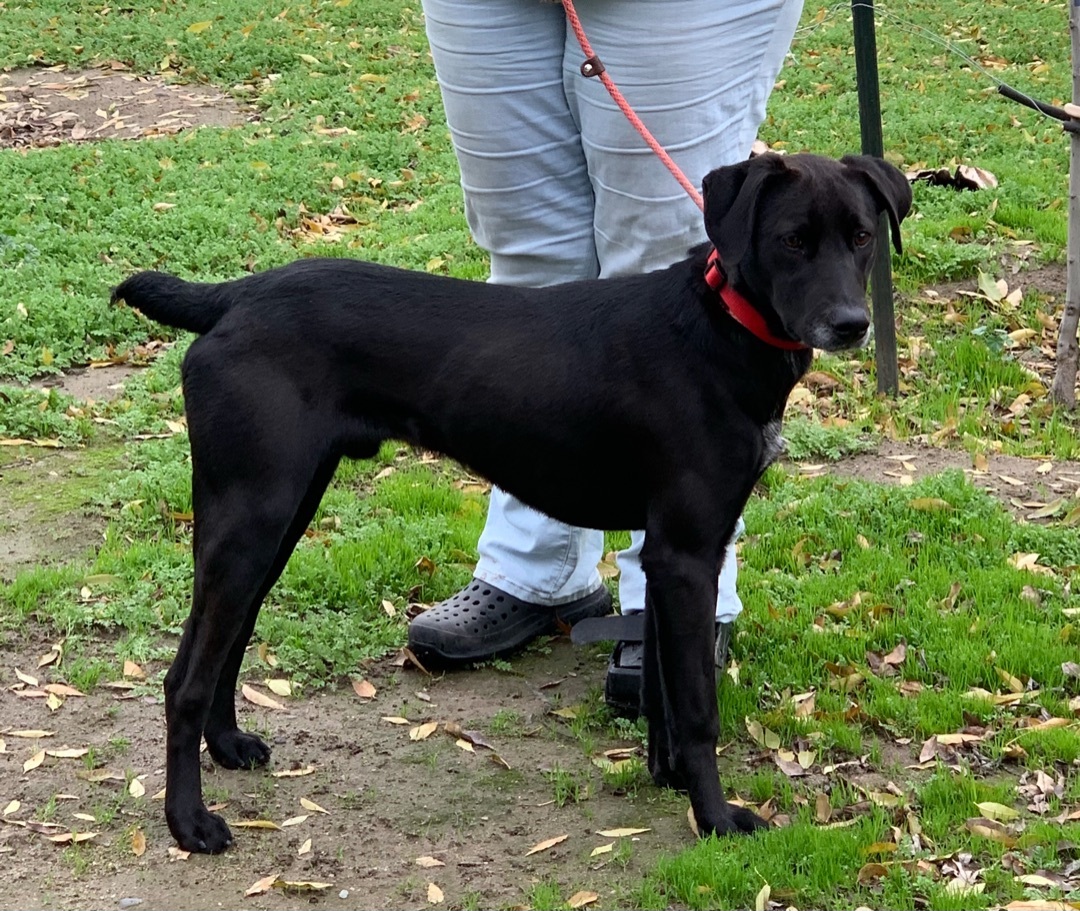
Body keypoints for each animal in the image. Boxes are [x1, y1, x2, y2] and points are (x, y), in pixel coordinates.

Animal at [116, 151, 911, 854]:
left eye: (862, 236)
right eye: (791, 240)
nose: (852, 324)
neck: (718, 329)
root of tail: (234, 296)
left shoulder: (665, 556)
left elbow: (661, 690)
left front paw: (669, 780)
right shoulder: (687, 554)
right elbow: (696, 708)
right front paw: (714, 818)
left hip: (277, 514)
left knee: (232, 636)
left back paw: (227, 746)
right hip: (252, 515)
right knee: (185, 675)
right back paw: (189, 823)